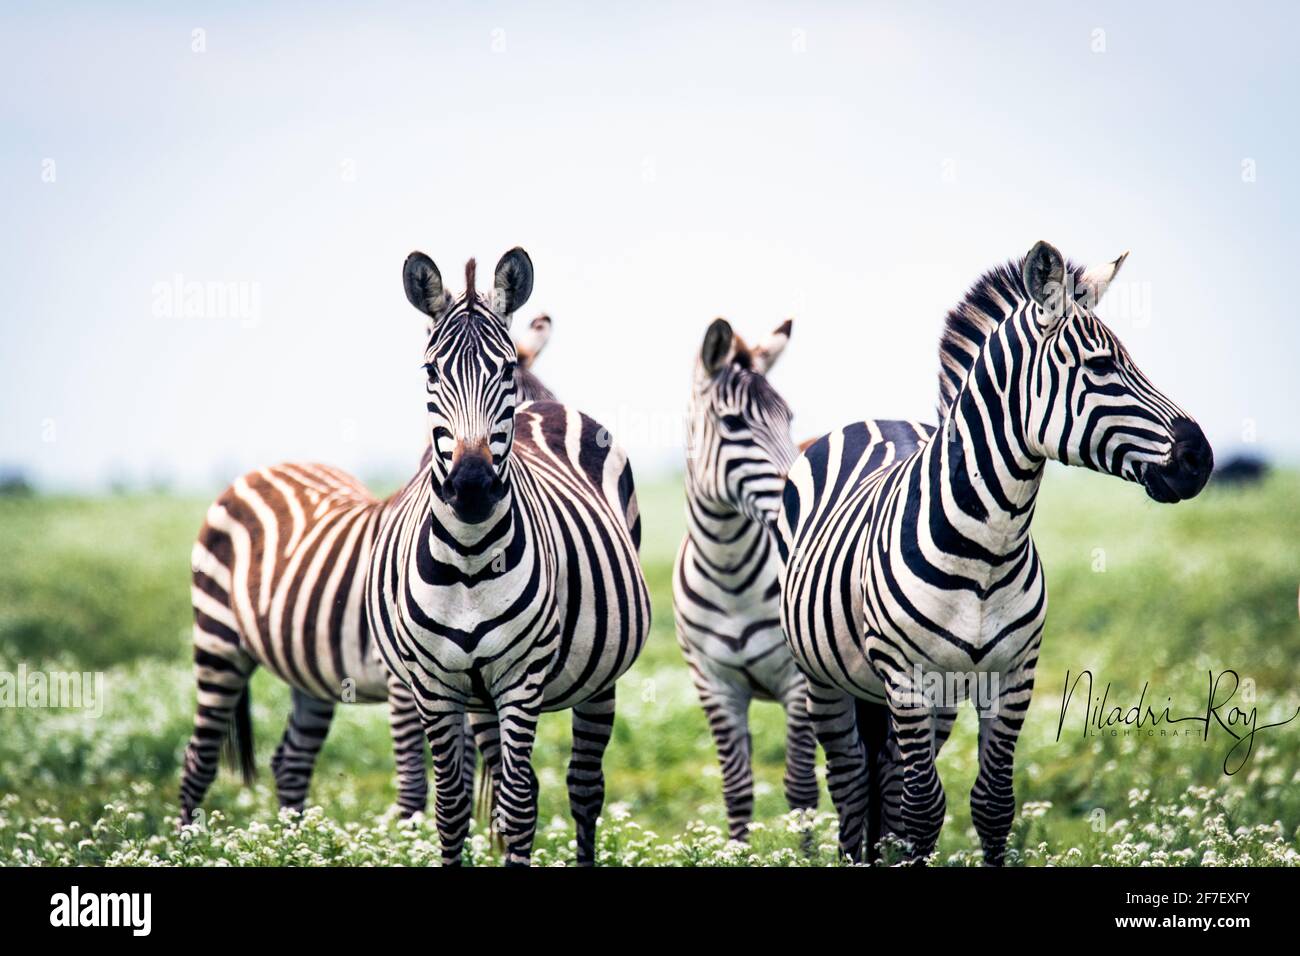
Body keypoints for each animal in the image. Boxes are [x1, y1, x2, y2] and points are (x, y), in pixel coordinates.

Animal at [176, 316, 553, 832]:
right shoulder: (405, 683)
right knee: (200, 756)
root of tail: (259, 471)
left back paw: (294, 841)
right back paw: (186, 841)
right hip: (217, 642)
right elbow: (415, 782)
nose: (478, 488)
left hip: (309, 670)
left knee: (290, 760)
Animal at [366, 247, 650, 868]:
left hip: (599, 678)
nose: (472, 486)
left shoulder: (522, 676)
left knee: (582, 788)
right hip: (478, 699)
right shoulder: (435, 684)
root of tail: (547, 406)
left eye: (504, 372)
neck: (471, 559)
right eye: (430, 373)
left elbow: (521, 805)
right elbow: (453, 808)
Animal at [676, 319, 816, 837]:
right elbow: (737, 791)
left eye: (788, 419)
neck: (729, 568)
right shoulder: (714, 684)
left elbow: (801, 790)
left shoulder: (798, 682)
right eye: (733, 423)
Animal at [774, 240, 1211, 868]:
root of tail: (872, 420)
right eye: (1102, 367)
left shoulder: (1013, 673)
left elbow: (992, 802)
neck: (986, 550)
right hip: (825, 678)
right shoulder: (907, 677)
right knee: (853, 782)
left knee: (885, 781)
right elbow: (923, 808)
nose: (1201, 459)